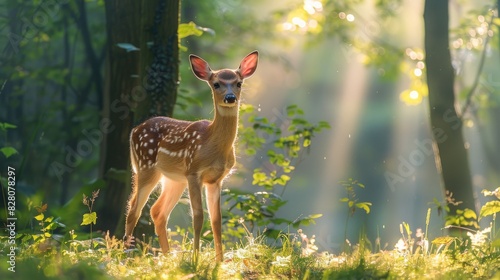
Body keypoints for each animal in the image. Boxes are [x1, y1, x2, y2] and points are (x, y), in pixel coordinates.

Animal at [125, 49, 260, 260]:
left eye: (239, 83)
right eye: (216, 84)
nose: (230, 97)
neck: (211, 143)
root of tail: (134, 130)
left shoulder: (215, 179)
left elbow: (216, 220)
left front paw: (219, 261)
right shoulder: (194, 171)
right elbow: (198, 217)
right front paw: (195, 258)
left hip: (174, 179)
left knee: (158, 212)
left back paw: (167, 256)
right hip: (146, 166)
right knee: (133, 209)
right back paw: (123, 254)